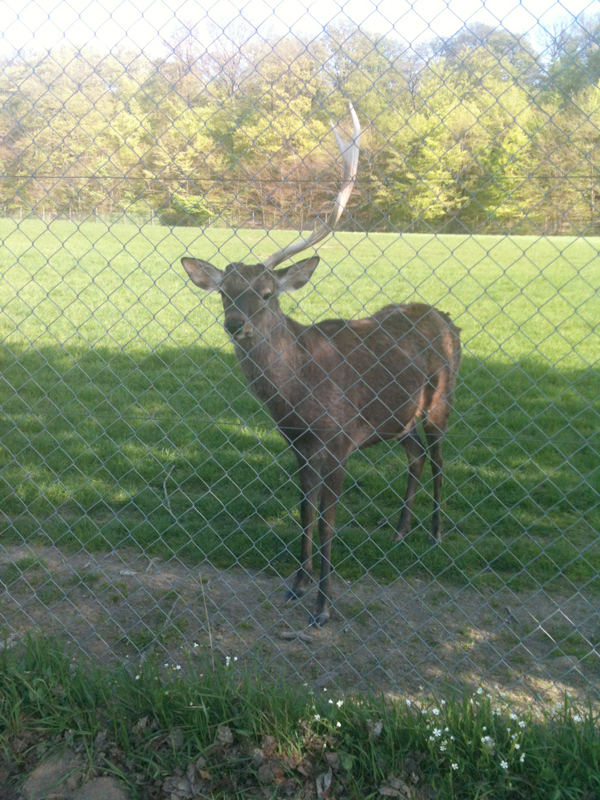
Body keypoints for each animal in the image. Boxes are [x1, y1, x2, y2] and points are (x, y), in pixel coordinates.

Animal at [181, 106, 461, 626]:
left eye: (265, 294)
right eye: (225, 293)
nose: (235, 324)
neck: (298, 398)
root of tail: (446, 318)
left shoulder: (339, 440)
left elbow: (329, 521)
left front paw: (324, 605)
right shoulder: (298, 445)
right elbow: (305, 513)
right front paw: (296, 585)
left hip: (440, 400)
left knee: (437, 458)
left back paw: (434, 534)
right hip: (398, 418)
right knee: (414, 456)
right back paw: (400, 532)